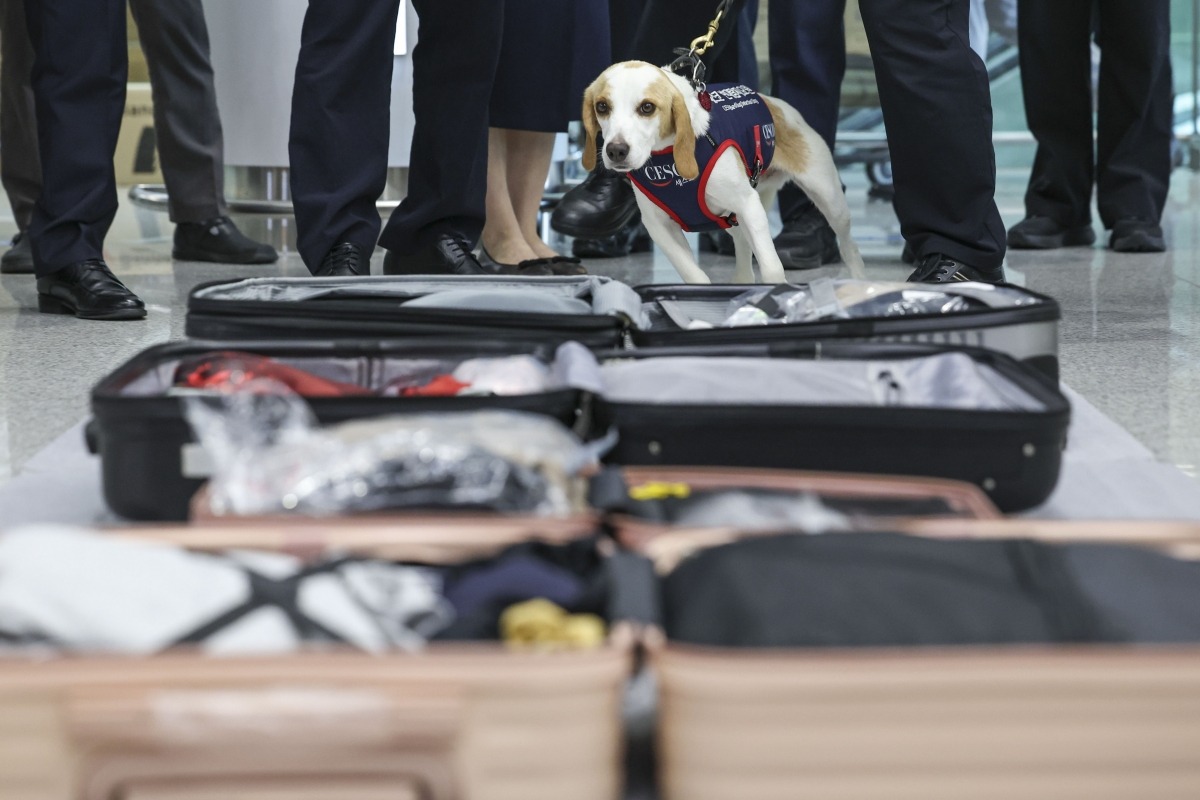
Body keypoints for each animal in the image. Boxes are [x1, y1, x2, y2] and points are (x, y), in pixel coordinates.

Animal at [580, 61, 864, 284]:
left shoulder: (748, 205)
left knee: (849, 248)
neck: (668, 158)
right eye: (602, 106)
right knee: (743, 250)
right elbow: (695, 275)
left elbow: (772, 268)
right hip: (731, 219)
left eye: (647, 107)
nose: (616, 150)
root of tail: (777, 104)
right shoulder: (659, 226)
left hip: (830, 200)